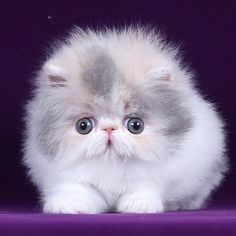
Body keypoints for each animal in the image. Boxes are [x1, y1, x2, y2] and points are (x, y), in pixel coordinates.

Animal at [23, 26, 228, 214]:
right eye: (83, 126)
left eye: (135, 126)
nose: (109, 128)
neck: (111, 170)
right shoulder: (67, 175)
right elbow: (76, 189)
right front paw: (69, 204)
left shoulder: (155, 175)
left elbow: (144, 187)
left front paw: (138, 205)